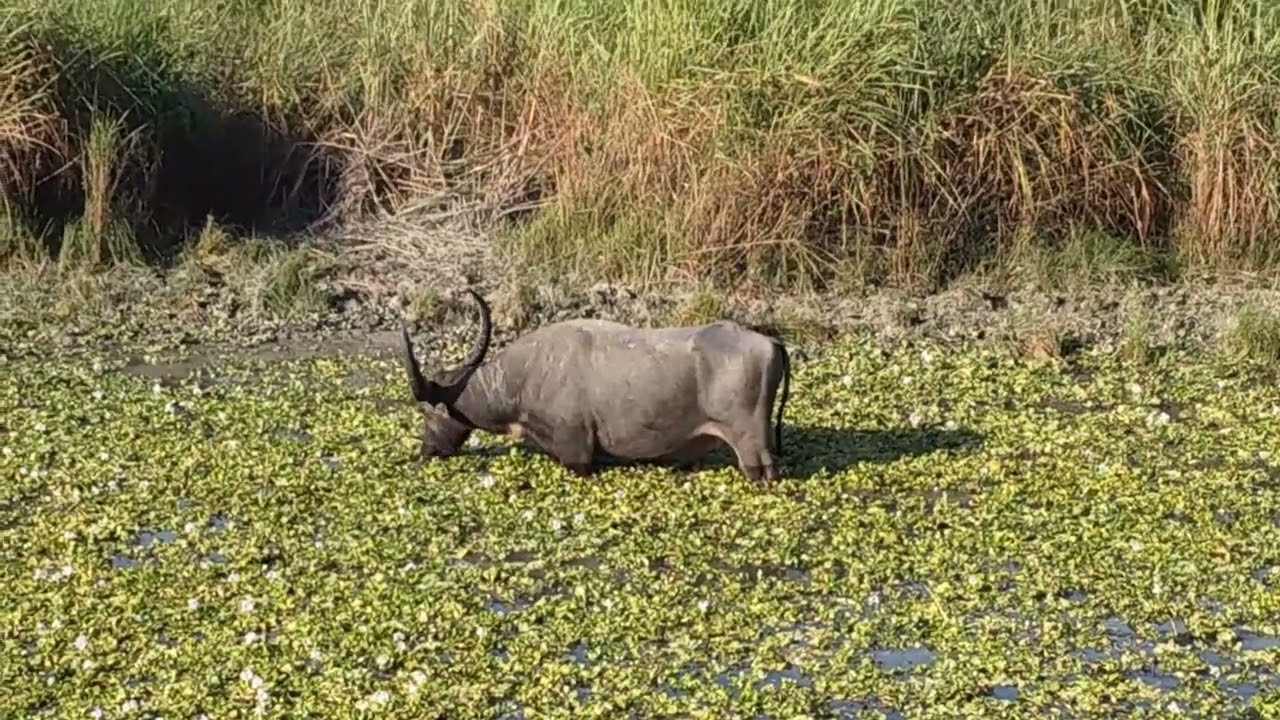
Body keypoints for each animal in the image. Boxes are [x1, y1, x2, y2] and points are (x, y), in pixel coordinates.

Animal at [400, 290, 792, 486]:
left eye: (427, 413)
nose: (426, 450)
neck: (524, 376)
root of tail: (769, 342)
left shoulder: (577, 452)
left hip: (751, 447)